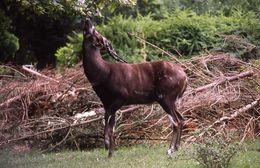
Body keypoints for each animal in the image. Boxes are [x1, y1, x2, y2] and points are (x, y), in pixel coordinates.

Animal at [83, 18, 187, 158]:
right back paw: (176, 148)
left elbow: (108, 124)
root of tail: (185, 77)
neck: (103, 74)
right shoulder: (107, 102)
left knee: (175, 122)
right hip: (172, 100)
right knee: (181, 119)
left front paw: (107, 146)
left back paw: (169, 150)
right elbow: (111, 127)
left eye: (94, 32)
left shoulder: (120, 98)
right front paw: (110, 153)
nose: (87, 19)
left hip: (165, 97)